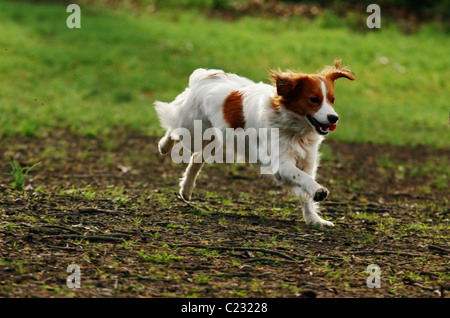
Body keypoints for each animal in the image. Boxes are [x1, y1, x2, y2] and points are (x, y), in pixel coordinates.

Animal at [155, 60, 356, 226]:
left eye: (332, 100)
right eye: (314, 99)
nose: (334, 118)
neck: (295, 130)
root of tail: (207, 74)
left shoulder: (307, 162)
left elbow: (305, 192)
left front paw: (314, 219)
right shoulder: (280, 163)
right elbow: (303, 179)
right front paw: (318, 190)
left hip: (214, 140)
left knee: (196, 158)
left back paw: (186, 190)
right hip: (192, 131)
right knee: (174, 129)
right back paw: (163, 146)